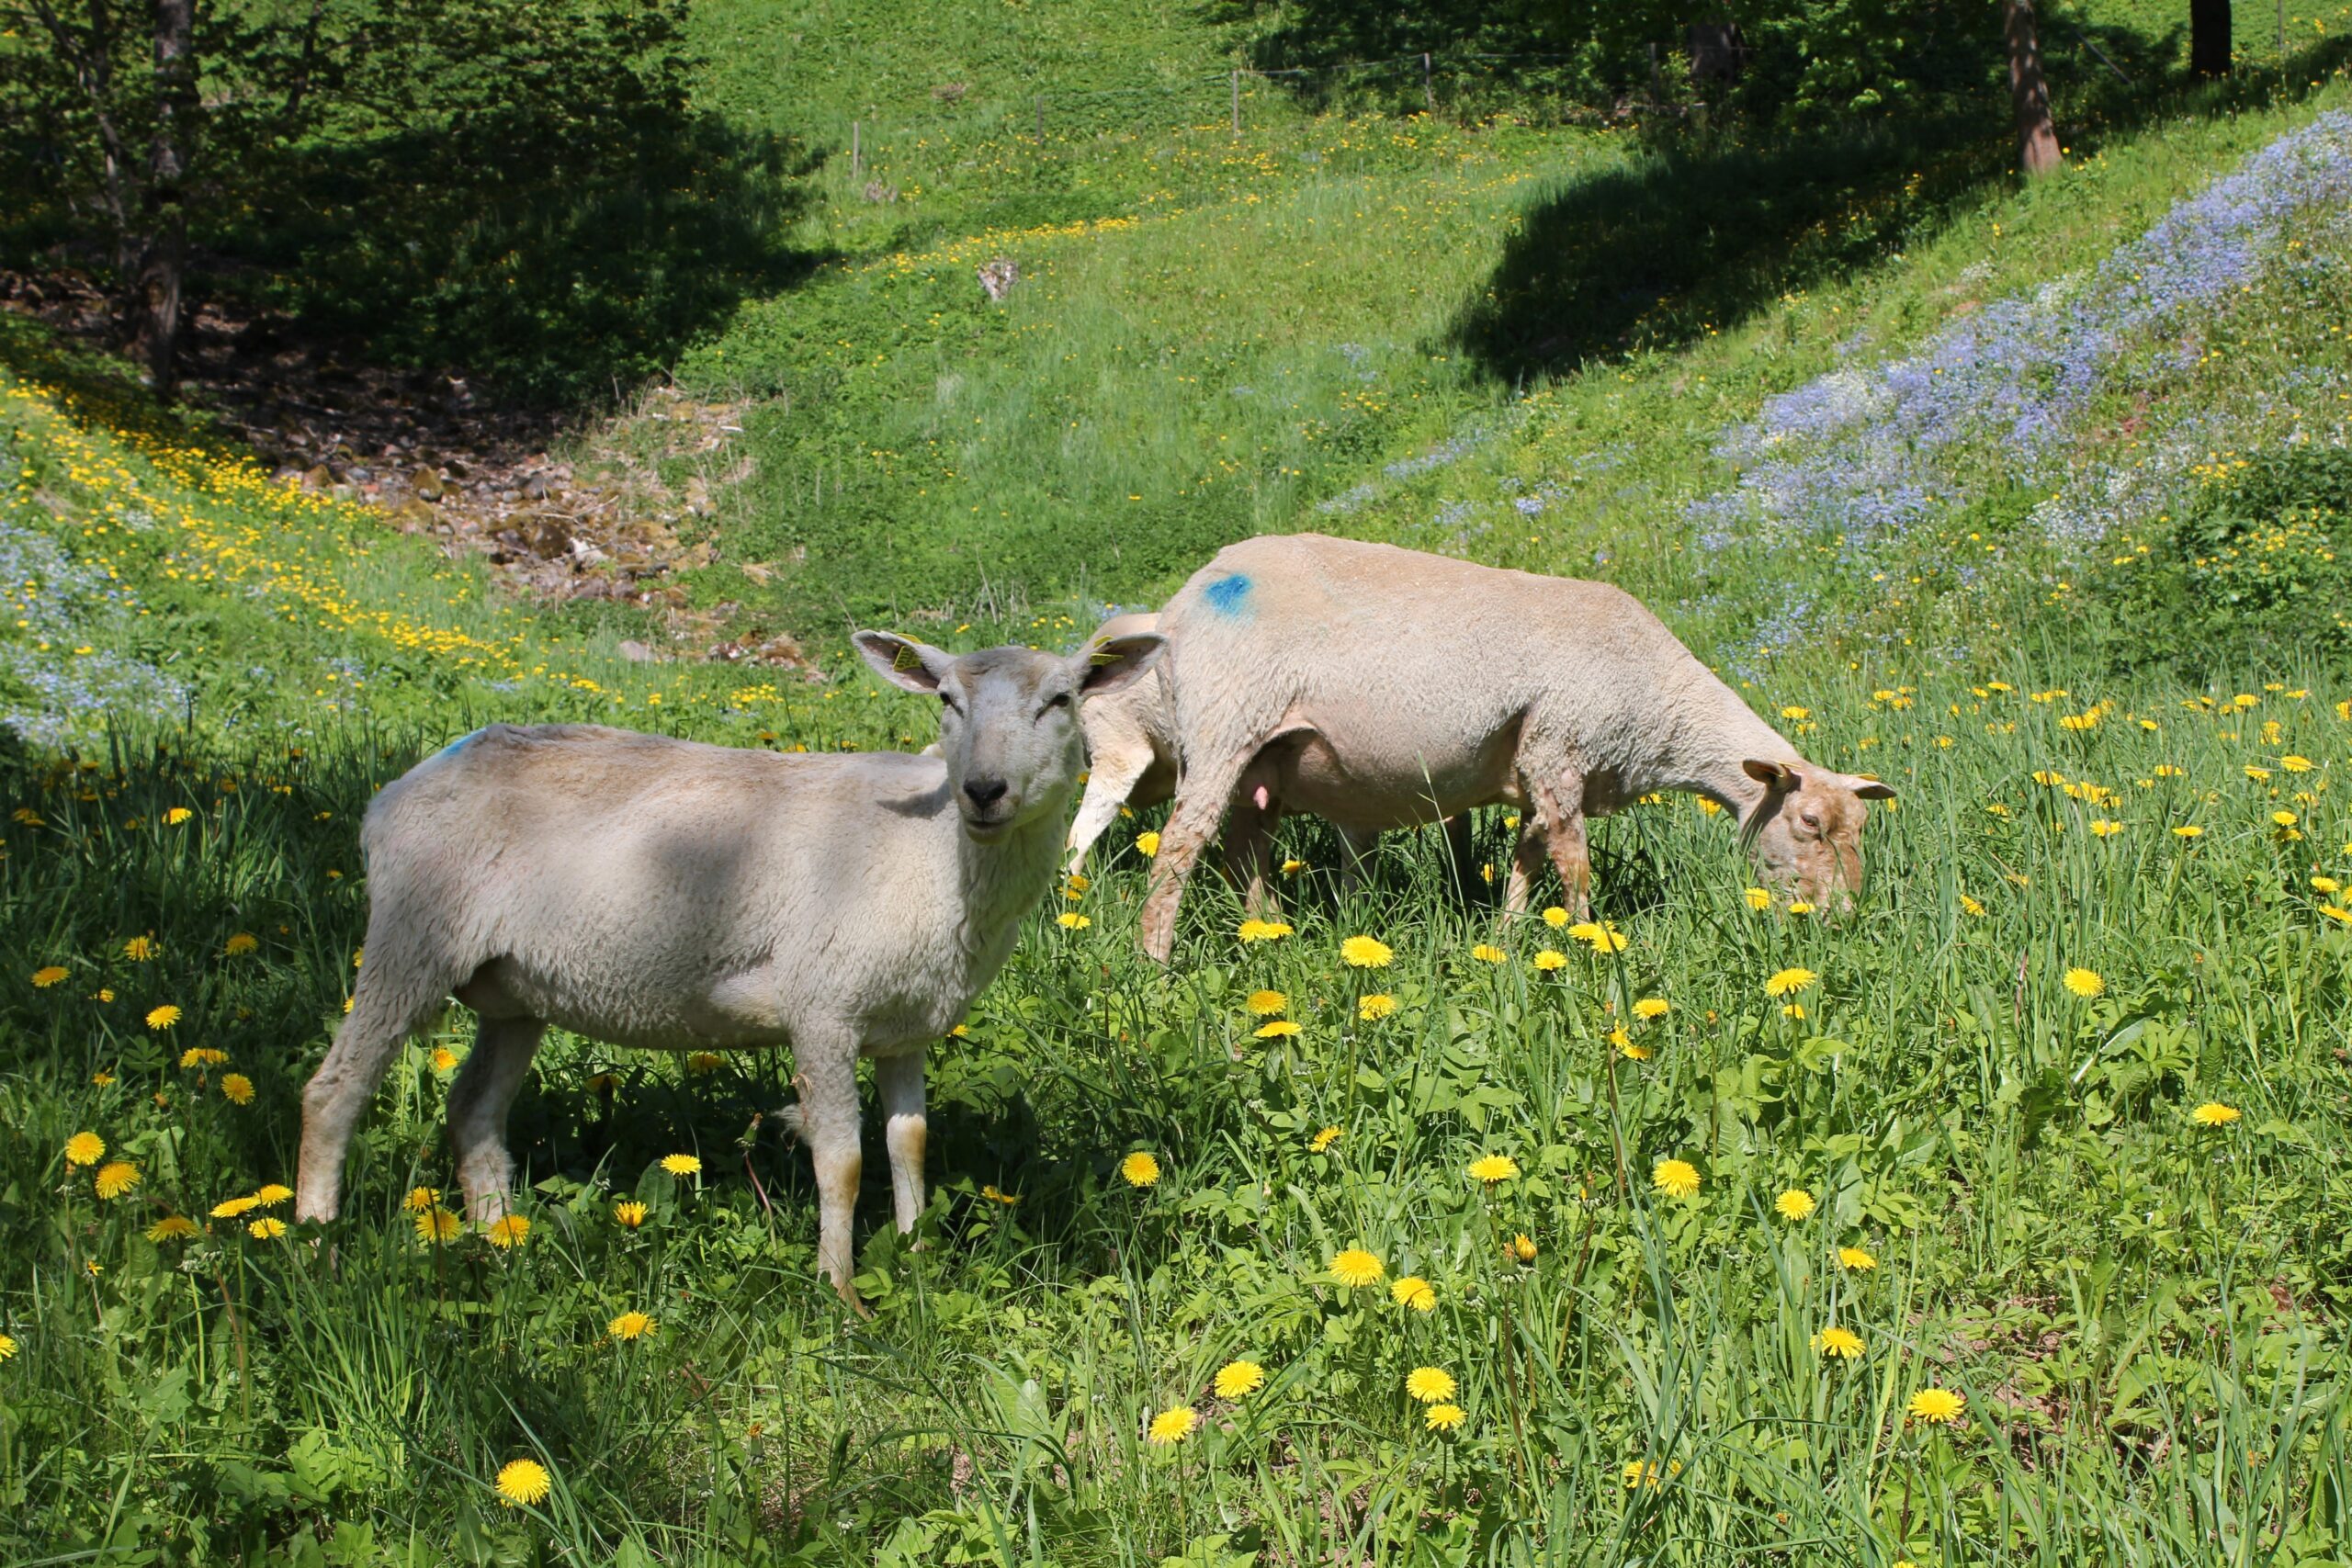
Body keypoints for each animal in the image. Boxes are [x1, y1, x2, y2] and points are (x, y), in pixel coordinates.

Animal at [296, 629, 1166, 1306]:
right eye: (947, 700)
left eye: (1060, 700)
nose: (985, 789)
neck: (933, 856)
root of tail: (396, 791)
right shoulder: (823, 1006)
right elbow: (843, 1161)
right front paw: (840, 1290)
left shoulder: (904, 1026)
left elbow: (909, 1143)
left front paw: (917, 1259)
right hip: (413, 930)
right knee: (334, 1090)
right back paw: (312, 1243)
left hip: (513, 988)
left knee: (473, 1106)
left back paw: (499, 1238)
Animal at [1138, 533, 1891, 964]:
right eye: (1809, 823)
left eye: (1861, 828)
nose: (1844, 920)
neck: (1657, 701)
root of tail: (1183, 600)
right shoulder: (1559, 745)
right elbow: (1576, 865)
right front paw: (1591, 944)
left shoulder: (1537, 770)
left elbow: (1528, 859)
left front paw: (1505, 941)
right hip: (1225, 720)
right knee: (1179, 848)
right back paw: (1157, 962)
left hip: (1268, 757)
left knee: (1244, 848)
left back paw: (1268, 932)